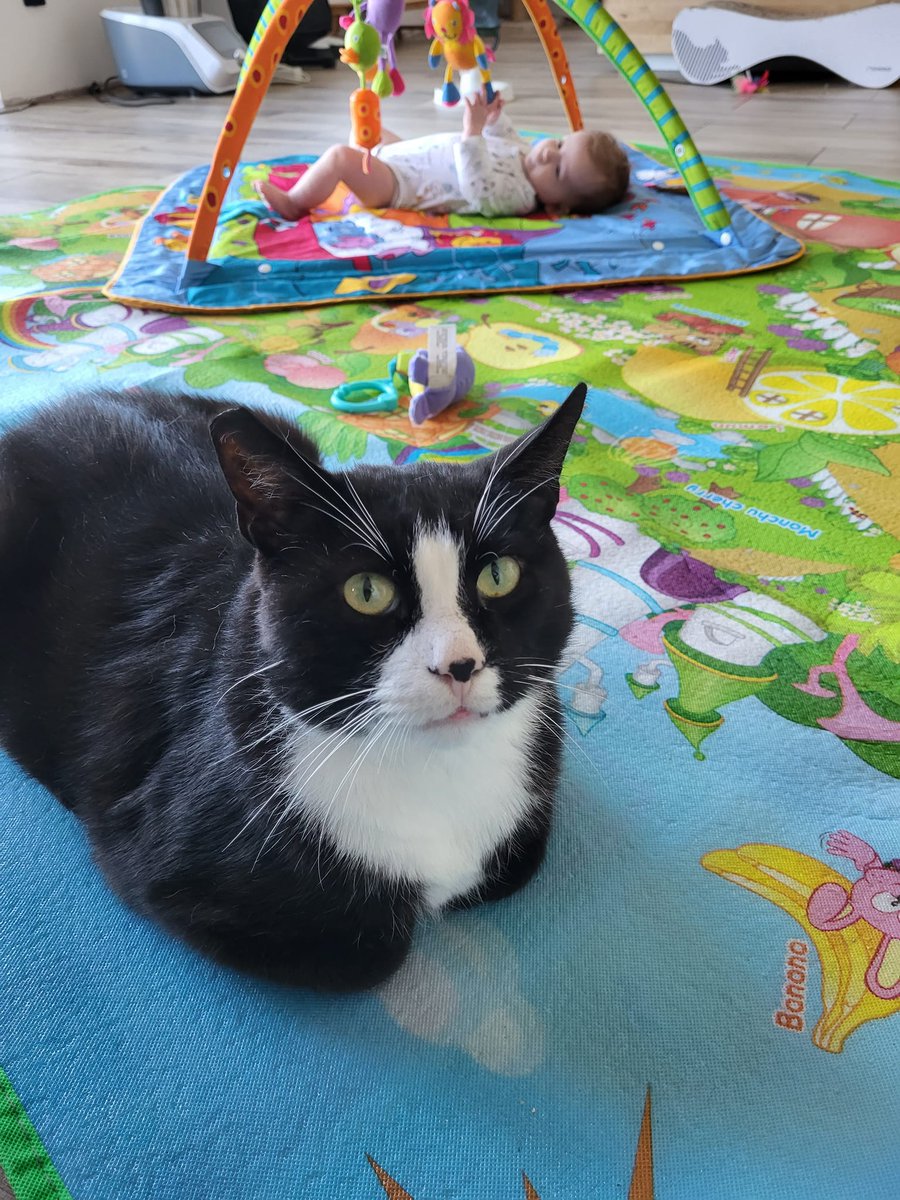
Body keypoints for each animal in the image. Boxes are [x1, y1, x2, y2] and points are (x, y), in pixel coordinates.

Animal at [0, 383, 585, 991]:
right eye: (366, 591)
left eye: (499, 576)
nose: (459, 665)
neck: (433, 773)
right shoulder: (170, 855)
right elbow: (373, 949)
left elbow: (508, 868)